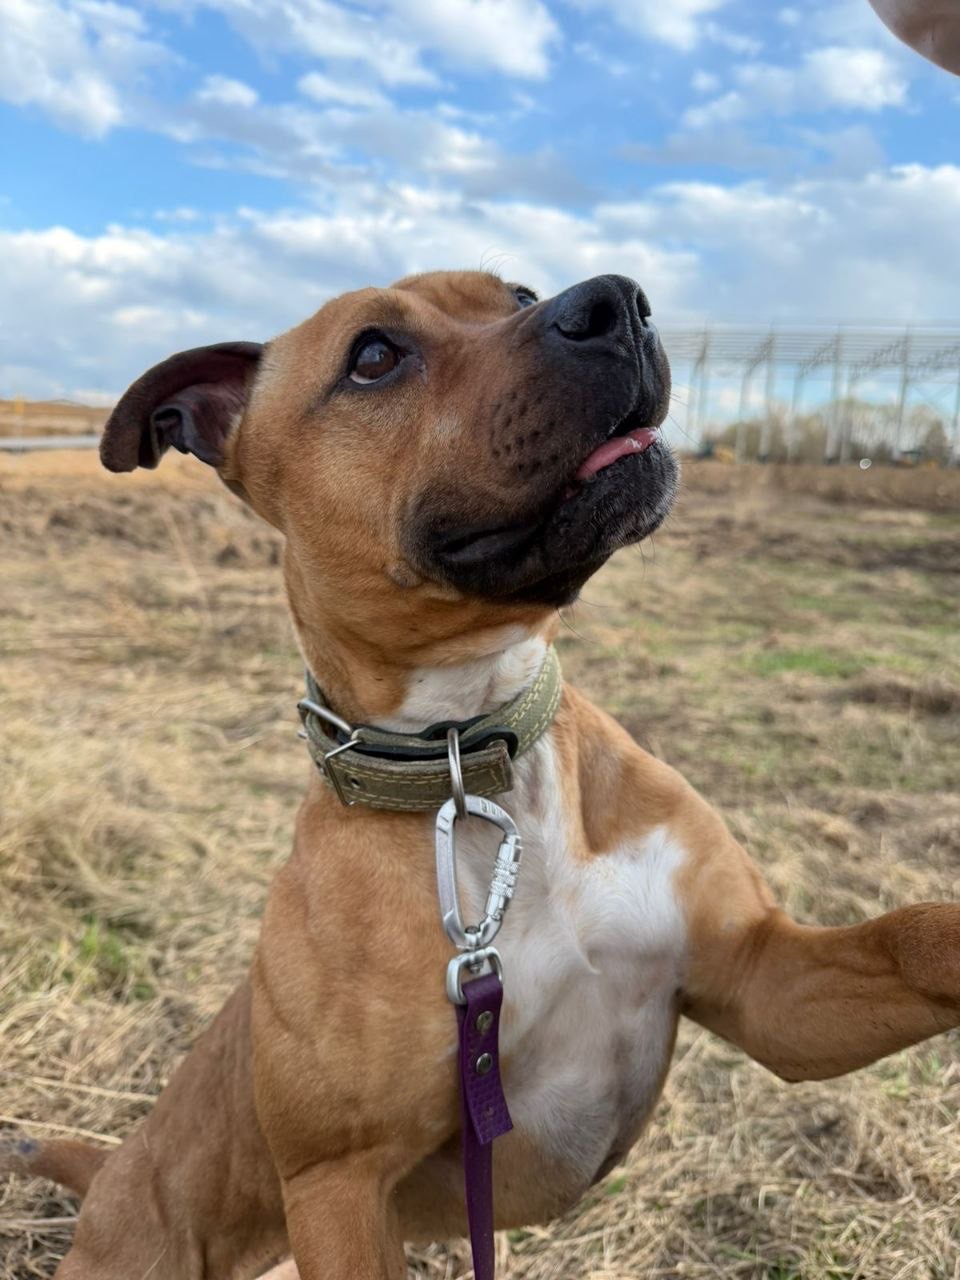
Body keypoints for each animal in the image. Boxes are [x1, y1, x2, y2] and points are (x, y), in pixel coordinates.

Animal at [5, 271, 959, 1280]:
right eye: (373, 355)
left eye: (519, 291)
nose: (616, 301)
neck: (478, 759)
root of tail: (113, 1168)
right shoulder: (340, 1184)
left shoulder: (763, 980)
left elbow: (916, 932)